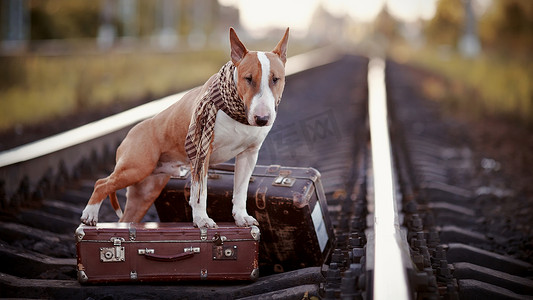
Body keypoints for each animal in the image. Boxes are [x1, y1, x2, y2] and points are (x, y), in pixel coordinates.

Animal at [81, 28, 288, 229]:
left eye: (276, 79)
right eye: (248, 78)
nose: (262, 119)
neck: (237, 114)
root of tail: (130, 133)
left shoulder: (249, 155)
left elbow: (240, 190)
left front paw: (241, 217)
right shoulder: (202, 152)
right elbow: (200, 192)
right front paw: (202, 220)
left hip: (145, 190)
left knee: (125, 214)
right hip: (137, 166)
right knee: (101, 183)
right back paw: (89, 215)